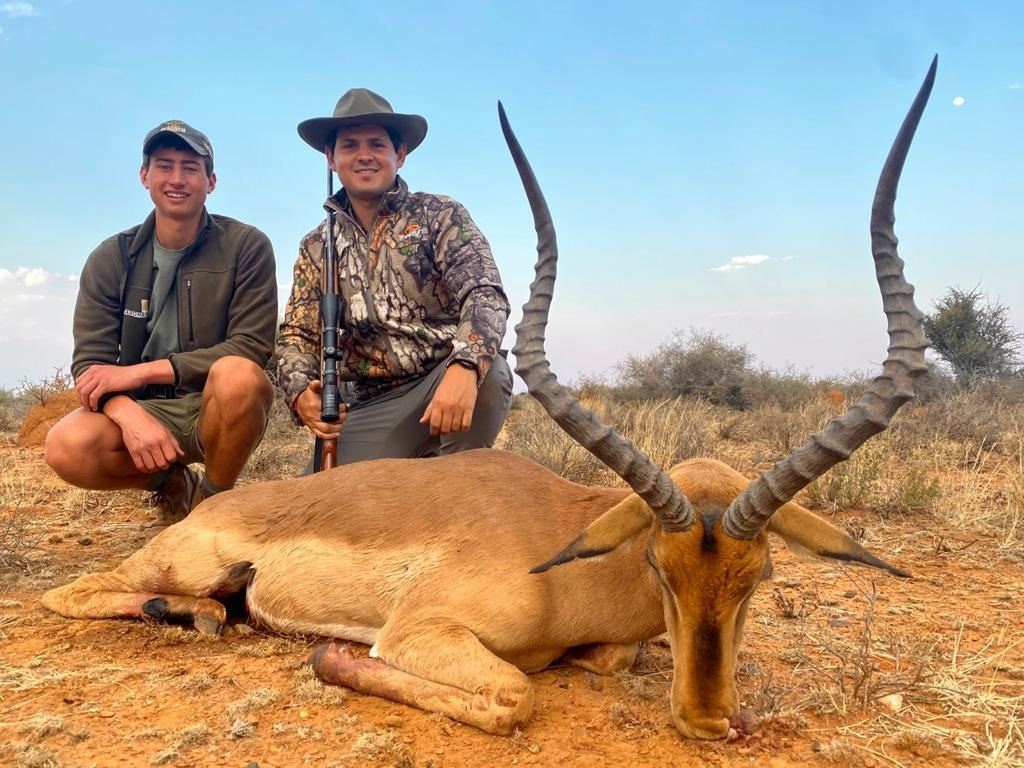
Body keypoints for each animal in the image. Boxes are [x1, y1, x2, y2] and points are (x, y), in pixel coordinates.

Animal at [41, 58, 936, 740]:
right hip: (182, 562)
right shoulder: (422, 630)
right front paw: (332, 658)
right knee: (74, 594)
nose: (710, 721)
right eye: (659, 563)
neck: (563, 557)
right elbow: (514, 695)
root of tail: (216, 508)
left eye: (760, 576)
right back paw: (196, 613)